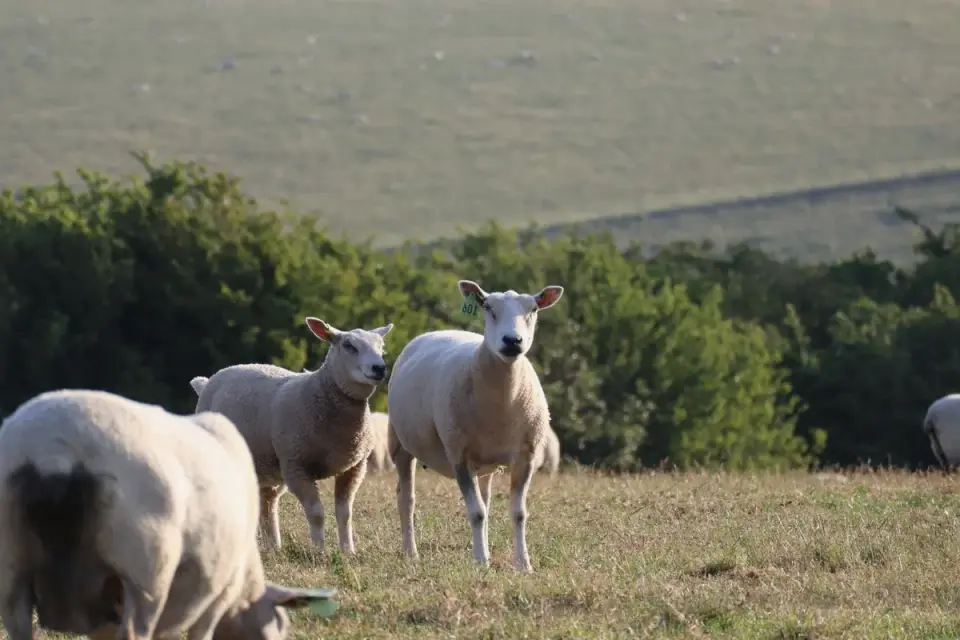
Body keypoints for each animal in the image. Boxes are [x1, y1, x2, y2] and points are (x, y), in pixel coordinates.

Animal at [0, 388, 336, 640]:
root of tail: (57, 450)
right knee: (135, 632)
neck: (245, 585)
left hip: (11, 567)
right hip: (146, 567)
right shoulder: (215, 594)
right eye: (279, 624)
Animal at [191, 316, 393, 554]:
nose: (379, 368)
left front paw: (348, 551)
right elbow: (316, 513)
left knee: (268, 501)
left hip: (268, 466)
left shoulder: (354, 467)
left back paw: (274, 546)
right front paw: (319, 552)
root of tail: (209, 380)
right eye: (348, 346)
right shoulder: (296, 465)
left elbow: (345, 514)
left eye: (381, 347)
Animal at [386, 279, 564, 572]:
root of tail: (438, 332)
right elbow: (477, 512)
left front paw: (523, 564)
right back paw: (411, 552)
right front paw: (480, 562)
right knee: (406, 497)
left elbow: (518, 513)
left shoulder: (526, 455)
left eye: (533, 309)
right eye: (488, 307)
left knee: (486, 499)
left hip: (486, 463)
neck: (502, 401)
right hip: (400, 444)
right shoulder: (459, 454)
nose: (512, 341)